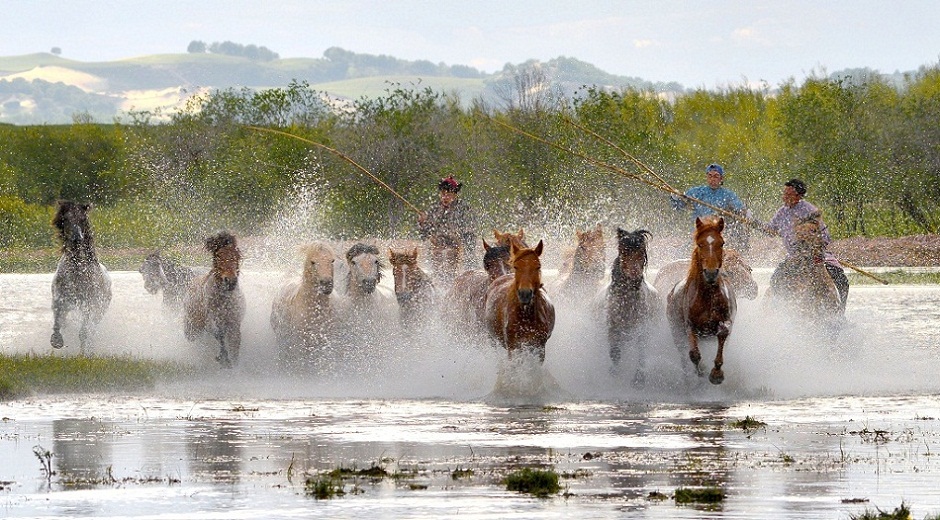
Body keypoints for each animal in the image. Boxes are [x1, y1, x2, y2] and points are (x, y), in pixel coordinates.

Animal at [50, 201, 112, 352]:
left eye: (83, 219)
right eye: (65, 219)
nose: (77, 238)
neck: (78, 271)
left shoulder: (89, 304)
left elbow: (84, 332)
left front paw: (84, 351)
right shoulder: (60, 298)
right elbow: (58, 319)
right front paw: (56, 341)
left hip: (100, 311)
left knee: (91, 329)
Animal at [184, 232, 246, 370]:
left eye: (237, 256)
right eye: (218, 256)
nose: (230, 281)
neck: (223, 301)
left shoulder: (234, 323)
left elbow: (235, 345)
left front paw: (233, 364)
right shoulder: (210, 322)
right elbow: (219, 335)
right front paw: (223, 359)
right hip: (193, 327)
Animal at [604, 228, 660, 386]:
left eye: (641, 252)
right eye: (623, 251)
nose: (635, 278)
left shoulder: (642, 330)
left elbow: (641, 353)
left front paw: (639, 379)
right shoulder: (613, 328)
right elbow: (615, 353)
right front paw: (614, 373)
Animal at [664, 213, 740, 384]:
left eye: (722, 243)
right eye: (700, 244)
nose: (711, 273)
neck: (708, 298)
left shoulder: (727, 320)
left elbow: (723, 332)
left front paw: (716, 374)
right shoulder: (690, 326)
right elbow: (694, 354)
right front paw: (702, 370)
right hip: (676, 333)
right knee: (683, 355)